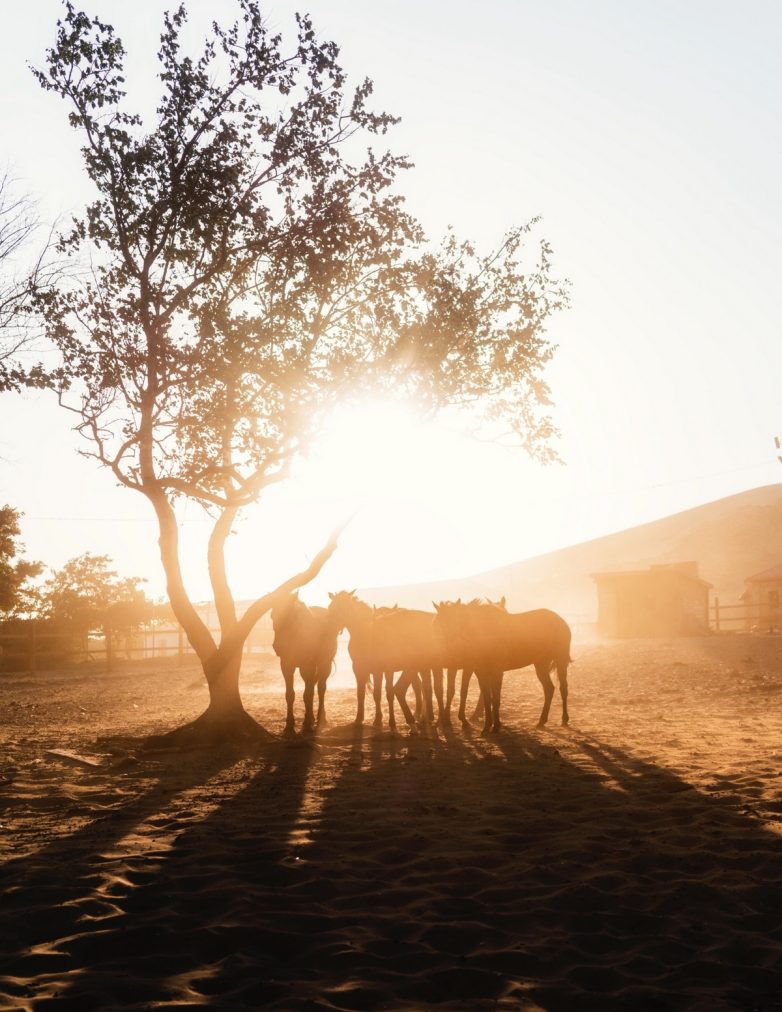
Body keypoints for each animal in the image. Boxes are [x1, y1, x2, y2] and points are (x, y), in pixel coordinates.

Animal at [271, 591, 337, 736]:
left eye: (292, 616)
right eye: (272, 615)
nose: (278, 646)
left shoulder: (308, 665)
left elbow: (308, 694)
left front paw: (306, 726)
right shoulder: (286, 665)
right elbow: (290, 694)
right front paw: (289, 726)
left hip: (324, 664)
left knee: (321, 689)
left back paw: (320, 718)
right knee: (313, 686)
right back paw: (311, 718)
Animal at [430, 599, 570, 736]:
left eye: (449, 621)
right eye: (436, 622)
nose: (439, 648)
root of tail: (560, 620)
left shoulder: (497, 671)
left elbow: (495, 699)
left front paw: (496, 726)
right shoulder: (481, 672)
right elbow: (487, 698)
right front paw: (487, 727)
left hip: (561, 661)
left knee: (563, 688)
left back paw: (564, 719)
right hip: (541, 664)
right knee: (549, 689)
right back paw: (542, 720)